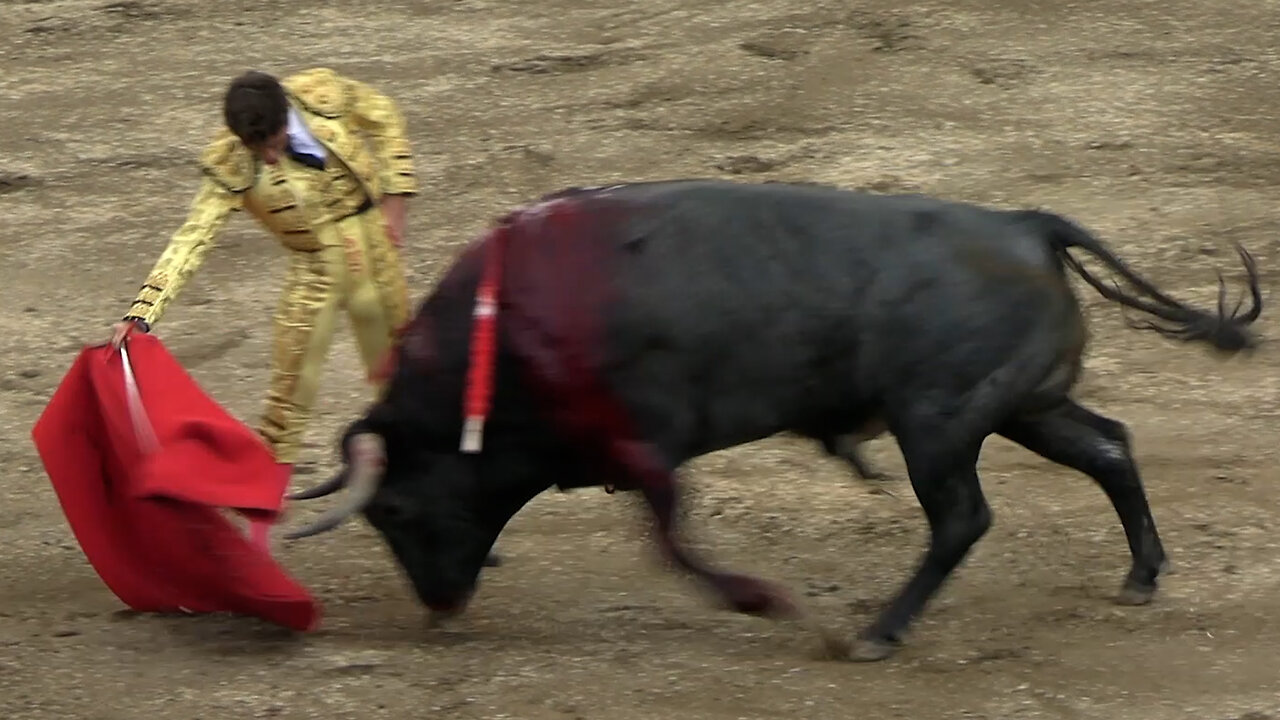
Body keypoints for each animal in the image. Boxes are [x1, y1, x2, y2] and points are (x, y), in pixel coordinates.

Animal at [282, 176, 1259, 661]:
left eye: (394, 509)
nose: (440, 609)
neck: (507, 334)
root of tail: (1026, 224)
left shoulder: (648, 447)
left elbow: (673, 541)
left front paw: (759, 599)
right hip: (1024, 406)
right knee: (1108, 448)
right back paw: (1140, 576)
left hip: (939, 422)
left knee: (963, 519)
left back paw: (877, 633)